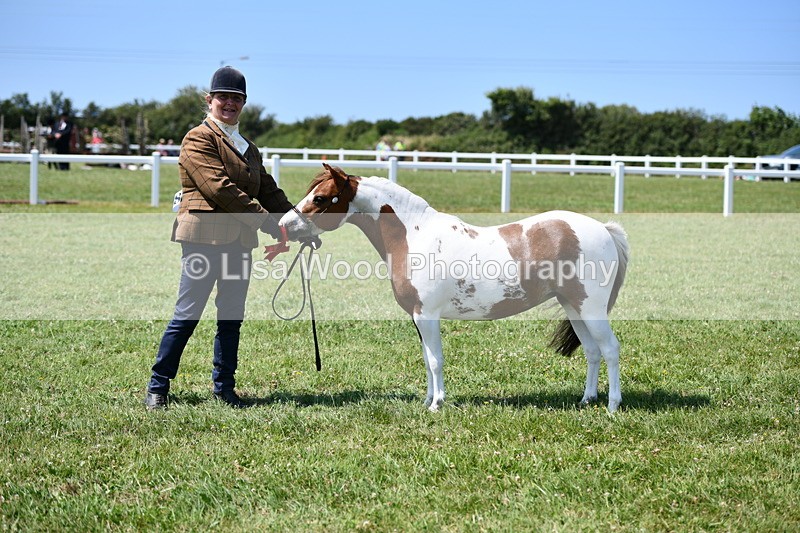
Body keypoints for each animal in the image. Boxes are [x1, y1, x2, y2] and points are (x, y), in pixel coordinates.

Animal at [278, 163, 630, 412]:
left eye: (320, 198)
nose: (283, 225)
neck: (414, 236)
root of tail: (603, 228)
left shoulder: (428, 315)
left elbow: (436, 360)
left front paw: (437, 404)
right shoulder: (418, 318)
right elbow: (426, 359)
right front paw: (427, 401)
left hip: (591, 308)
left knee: (611, 349)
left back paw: (612, 405)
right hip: (574, 307)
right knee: (592, 351)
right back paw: (586, 400)